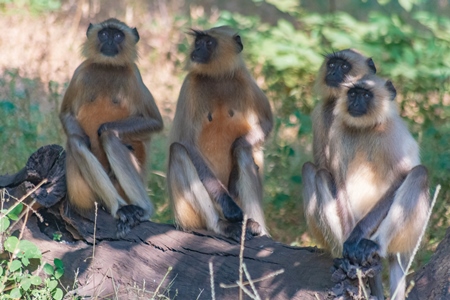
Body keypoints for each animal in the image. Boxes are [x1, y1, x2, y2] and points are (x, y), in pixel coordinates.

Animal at [59, 18, 163, 238]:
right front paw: (85, 138)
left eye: (118, 35)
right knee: (76, 142)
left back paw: (142, 209)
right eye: (105, 34)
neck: (108, 67)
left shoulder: (134, 75)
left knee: (110, 136)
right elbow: (66, 114)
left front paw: (104, 128)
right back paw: (120, 207)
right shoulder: (80, 71)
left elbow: (154, 121)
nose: (109, 42)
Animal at [302, 73, 428, 300]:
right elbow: (339, 182)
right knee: (321, 174)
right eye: (352, 93)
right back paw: (346, 260)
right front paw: (349, 243)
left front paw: (357, 238)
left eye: (366, 94)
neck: (366, 128)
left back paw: (373, 245)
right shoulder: (338, 133)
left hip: (407, 236)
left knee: (419, 173)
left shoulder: (392, 133)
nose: (355, 102)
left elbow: (401, 177)